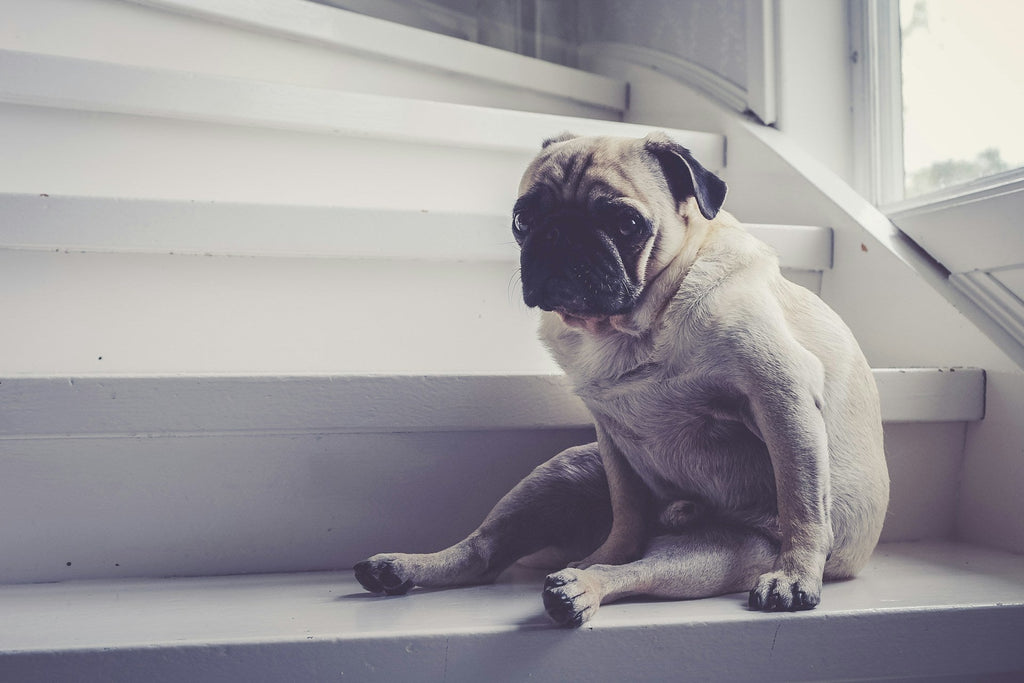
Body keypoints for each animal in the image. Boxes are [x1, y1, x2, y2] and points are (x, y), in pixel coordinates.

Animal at [354, 131, 888, 626]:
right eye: (523, 220)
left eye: (626, 223)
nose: (560, 233)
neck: (632, 326)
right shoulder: (611, 438)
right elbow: (627, 511)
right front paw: (608, 551)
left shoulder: (781, 394)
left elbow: (801, 498)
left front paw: (795, 576)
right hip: (563, 471)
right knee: (485, 553)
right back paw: (407, 568)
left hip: (722, 555)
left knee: (641, 572)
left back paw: (580, 588)